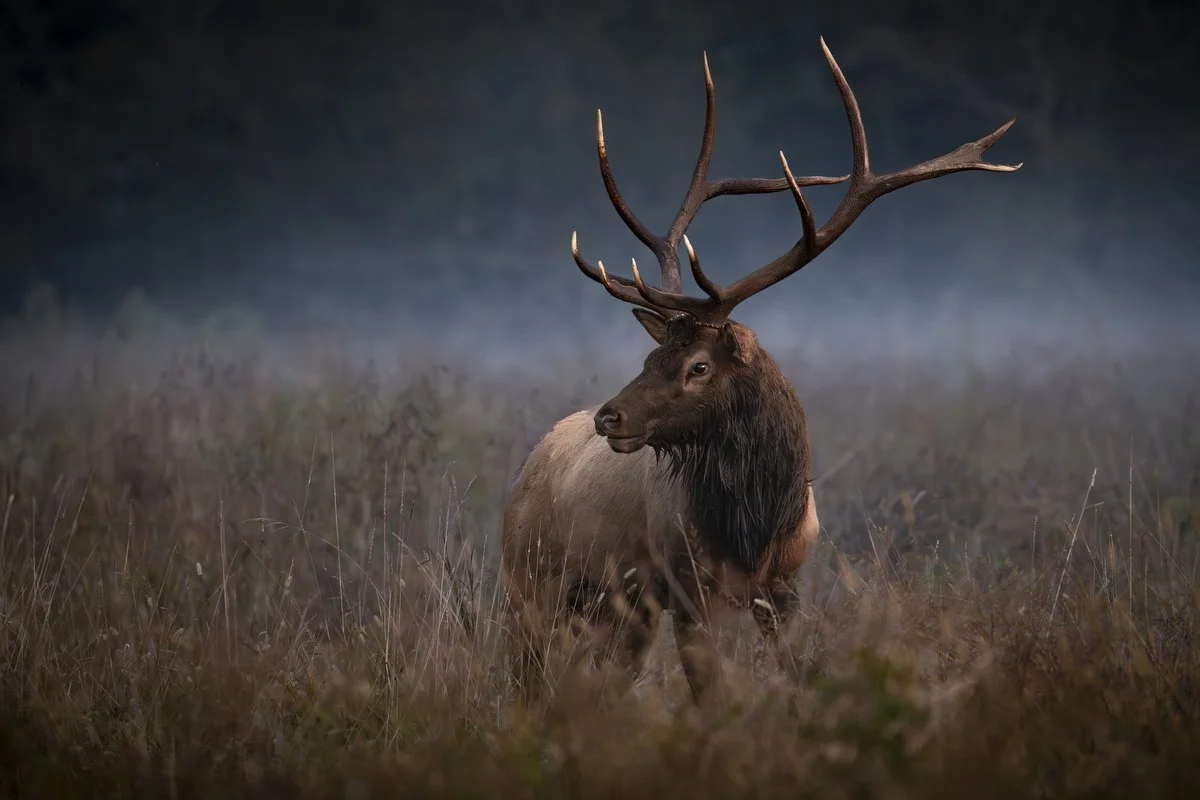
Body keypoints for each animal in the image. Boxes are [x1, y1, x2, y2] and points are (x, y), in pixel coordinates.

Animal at [501, 37, 1020, 704]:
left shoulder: (784, 587)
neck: (756, 523)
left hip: (621, 608)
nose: (608, 418)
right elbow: (710, 695)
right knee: (527, 675)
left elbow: (798, 673)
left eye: (697, 366)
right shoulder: (685, 587)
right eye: (650, 358)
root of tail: (526, 467)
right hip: (528, 585)